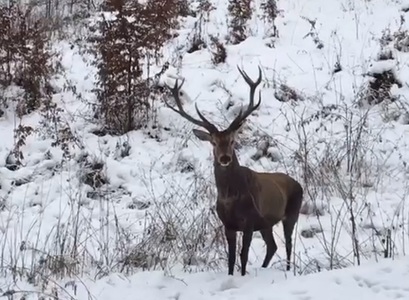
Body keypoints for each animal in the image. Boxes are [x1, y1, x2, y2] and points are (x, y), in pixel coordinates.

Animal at [163, 66, 302, 276]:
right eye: (213, 142)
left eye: (232, 141)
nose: (225, 158)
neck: (229, 197)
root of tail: (299, 184)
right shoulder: (228, 224)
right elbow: (230, 258)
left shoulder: (249, 220)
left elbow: (243, 256)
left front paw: (243, 275)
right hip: (267, 223)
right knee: (272, 246)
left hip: (292, 213)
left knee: (287, 245)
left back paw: (287, 270)